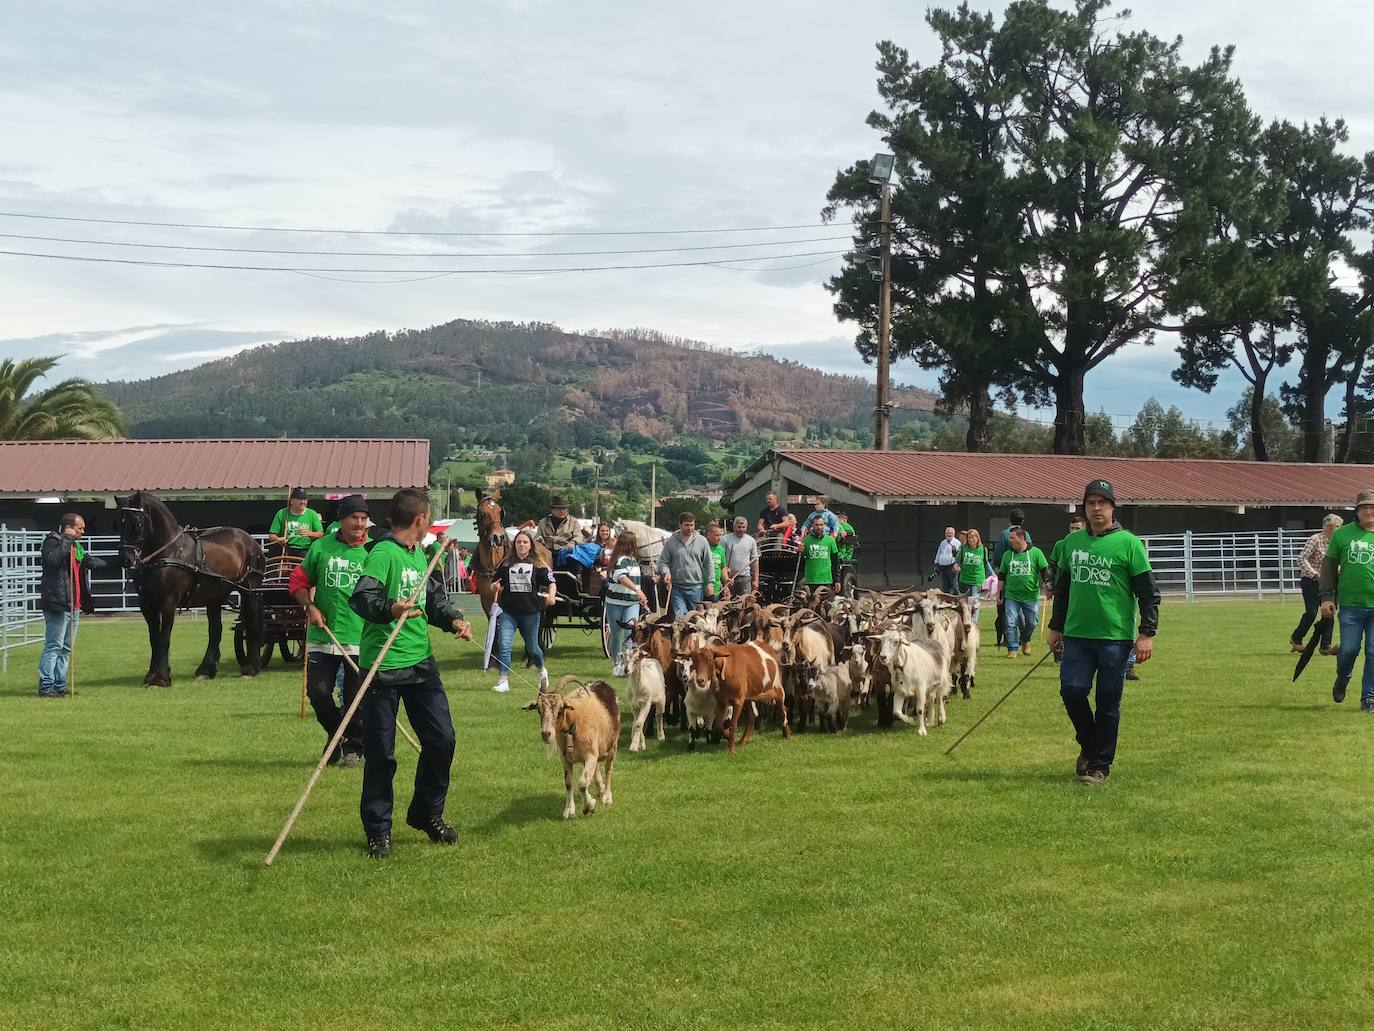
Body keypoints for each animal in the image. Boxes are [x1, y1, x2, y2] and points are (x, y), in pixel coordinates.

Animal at [120, 492, 267, 687]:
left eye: (136, 522)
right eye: (118, 522)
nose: (125, 559)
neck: (169, 551)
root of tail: (251, 541)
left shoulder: (169, 602)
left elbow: (164, 638)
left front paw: (160, 678)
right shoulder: (146, 604)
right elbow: (154, 639)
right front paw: (153, 675)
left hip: (249, 590)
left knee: (251, 624)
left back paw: (250, 668)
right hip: (215, 596)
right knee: (215, 630)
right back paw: (206, 670)